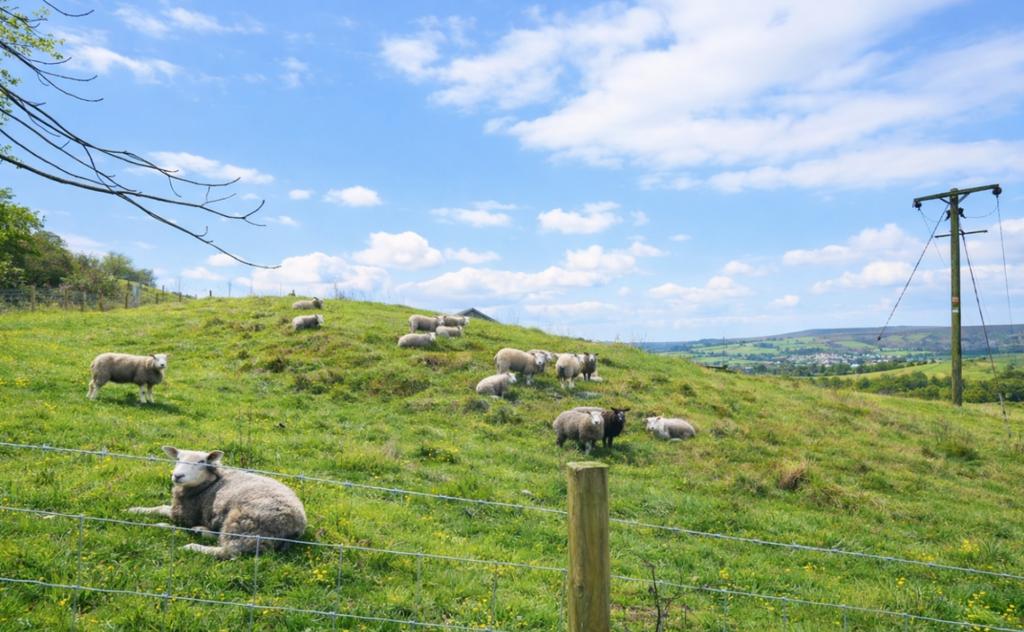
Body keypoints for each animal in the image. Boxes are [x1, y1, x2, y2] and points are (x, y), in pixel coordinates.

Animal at [128, 447, 307, 559]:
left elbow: (161, 509)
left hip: (245, 522)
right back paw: (200, 531)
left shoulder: (184, 514)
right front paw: (136, 510)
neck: (210, 483)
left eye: (202, 461)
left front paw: (137, 511)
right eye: (178, 459)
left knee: (230, 551)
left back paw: (194, 546)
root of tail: (298, 524)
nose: (177, 476)